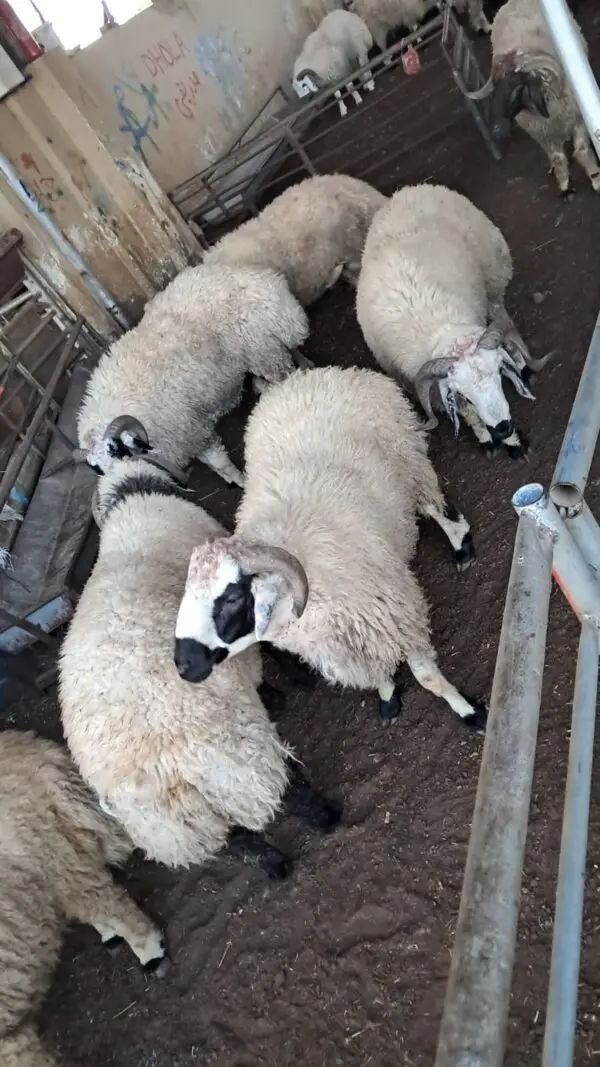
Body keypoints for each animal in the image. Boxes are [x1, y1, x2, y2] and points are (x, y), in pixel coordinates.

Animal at [59, 458, 341, 876]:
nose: (188, 668)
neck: (132, 494)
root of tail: (163, 773)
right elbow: (263, 638)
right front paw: (295, 679)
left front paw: (274, 690)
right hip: (240, 762)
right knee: (288, 787)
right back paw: (326, 815)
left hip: (184, 826)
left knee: (237, 839)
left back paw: (275, 867)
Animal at [75, 263, 310, 488]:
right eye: (100, 470)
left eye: (119, 452)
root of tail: (264, 277)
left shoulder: (193, 433)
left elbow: (220, 463)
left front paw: (242, 482)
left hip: (264, 352)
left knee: (284, 373)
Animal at [173, 365, 486, 730]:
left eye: (233, 597)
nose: (183, 666)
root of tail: (310, 376)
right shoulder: (346, 645)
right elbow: (375, 676)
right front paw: (388, 698)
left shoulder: (397, 616)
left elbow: (428, 678)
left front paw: (468, 711)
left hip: (408, 459)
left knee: (434, 507)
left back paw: (460, 544)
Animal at [356, 182, 550, 459]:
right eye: (464, 393)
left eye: (498, 374)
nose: (502, 427)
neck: (443, 328)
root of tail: (409, 189)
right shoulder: (438, 389)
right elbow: (468, 414)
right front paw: (487, 439)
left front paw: (514, 443)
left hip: (494, 281)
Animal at [467, 0, 600, 195]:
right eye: (495, 87)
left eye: (517, 86)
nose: (495, 129)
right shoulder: (542, 134)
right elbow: (557, 158)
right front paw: (564, 184)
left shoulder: (578, 118)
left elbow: (582, 150)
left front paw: (595, 178)